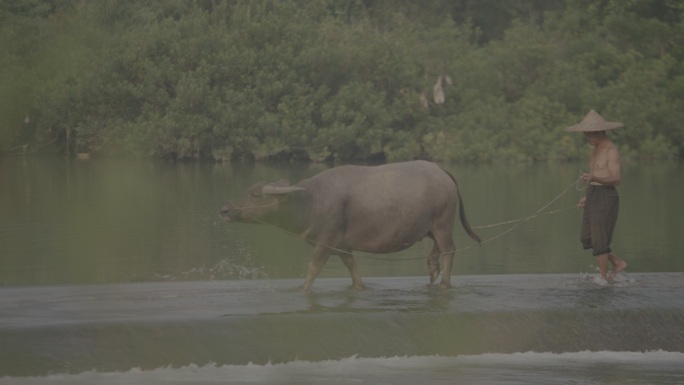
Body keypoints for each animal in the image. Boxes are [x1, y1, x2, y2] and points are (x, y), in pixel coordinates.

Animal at [219, 158, 480, 288]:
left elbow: (312, 270)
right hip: (431, 228)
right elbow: (353, 270)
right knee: (437, 249)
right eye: (248, 190)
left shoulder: (325, 243)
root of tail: (440, 170)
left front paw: (303, 289)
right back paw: (432, 269)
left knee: (449, 250)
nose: (225, 209)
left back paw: (444, 281)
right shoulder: (343, 247)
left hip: (443, 223)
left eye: (255, 195)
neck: (311, 202)